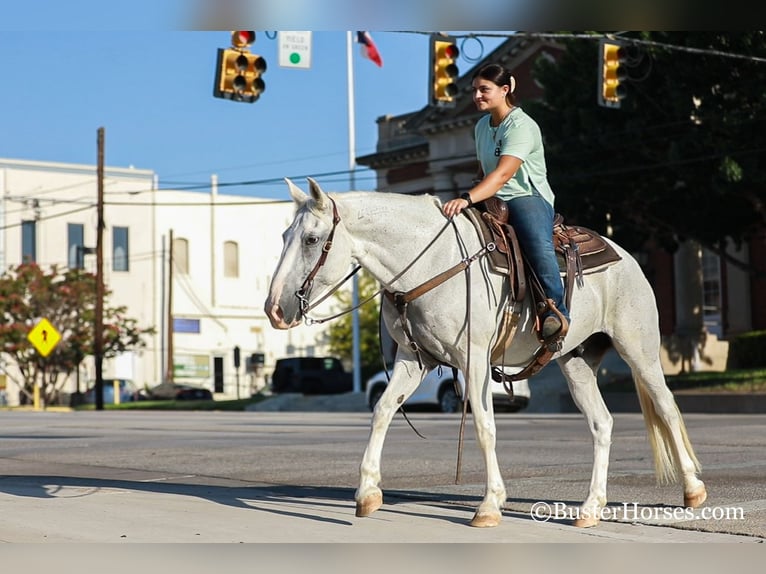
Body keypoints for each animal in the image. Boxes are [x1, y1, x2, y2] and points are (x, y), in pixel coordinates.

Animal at [264, 180, 708, 532]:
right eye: (283, 236)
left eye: (311, 240)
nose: (274, 310)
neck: (430, 262)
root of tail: (626, 256)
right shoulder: (413, 360)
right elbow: (382, 412)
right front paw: (367, 493)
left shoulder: (473, 359)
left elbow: (483, 426)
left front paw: (489, 505)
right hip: (577, 362)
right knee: (602, 424)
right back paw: (590, 508)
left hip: (639, 349)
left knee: (667, 408)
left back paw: (693, 490)